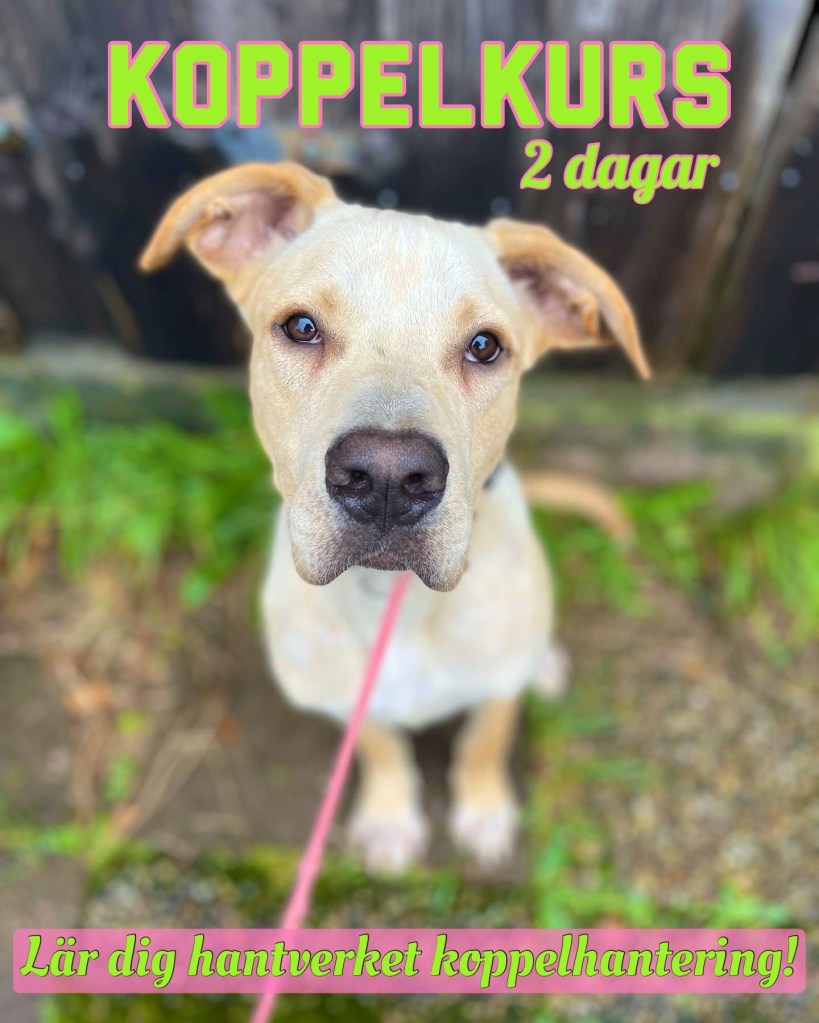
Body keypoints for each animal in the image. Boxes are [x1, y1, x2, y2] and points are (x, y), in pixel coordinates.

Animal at [140, 162, 648, 873]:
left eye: (485, 346)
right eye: (301, 327)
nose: (386, 479)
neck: (392, 603)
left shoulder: (495, 687)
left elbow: (484, 742)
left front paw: (484, 812)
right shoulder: (348, 692)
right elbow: (380, 746)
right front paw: (388, 819)